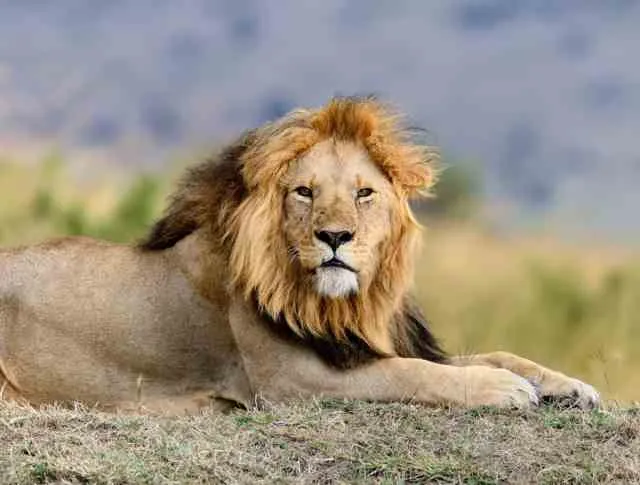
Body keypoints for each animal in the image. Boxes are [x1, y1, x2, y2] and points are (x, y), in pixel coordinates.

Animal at [0, 96, 599, 414]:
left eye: (364, 193)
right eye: (304, 192)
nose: (335, 236)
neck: (343, 303)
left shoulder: (360, 344)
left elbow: (494, 353)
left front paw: (568, 384)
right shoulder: (293, 382)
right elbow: (413, 374)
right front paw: (501, 389)